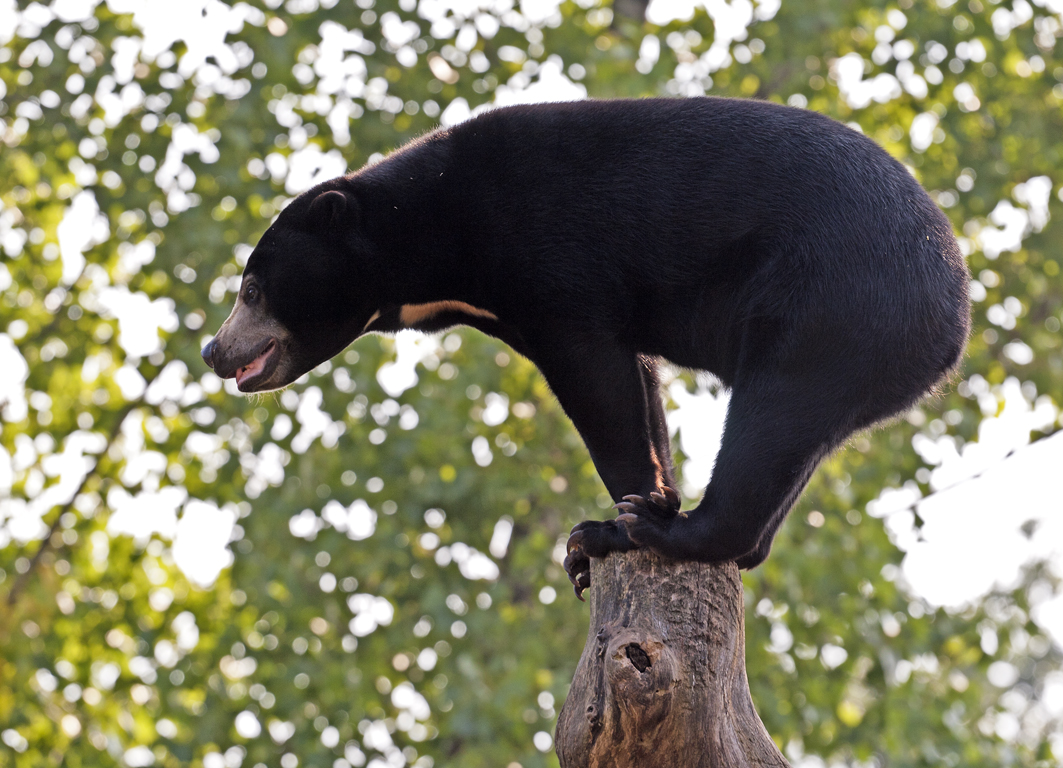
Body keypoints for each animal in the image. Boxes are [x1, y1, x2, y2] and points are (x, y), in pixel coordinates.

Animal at [200, 97, 973, 599]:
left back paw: (652, 536)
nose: (213, 349)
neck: (432, 229)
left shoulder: (554, 260)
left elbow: (597, 382)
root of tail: (954, 308)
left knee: (772, 416)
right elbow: (640, 387)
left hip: (827, 307)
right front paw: (646, 500)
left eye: (251, 288)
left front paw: (622, 518)